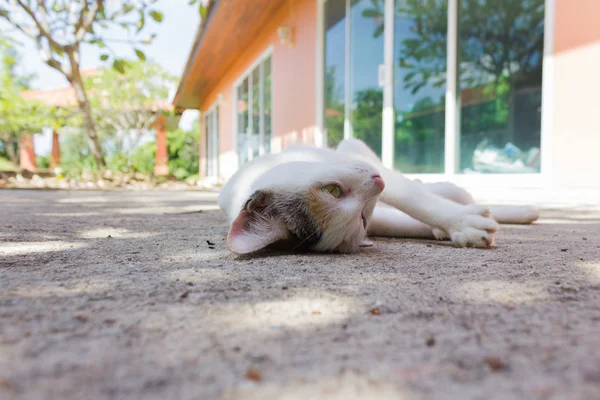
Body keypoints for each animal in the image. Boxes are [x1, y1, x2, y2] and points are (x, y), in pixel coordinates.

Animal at [218, 139, 536, 255]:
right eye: (361, 218)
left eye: (332, 189)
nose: (376, 184)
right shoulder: (377, 215)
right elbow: (402, 222)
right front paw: (457, 228)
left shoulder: (357, 160)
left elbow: (413, 198)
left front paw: (460, 222)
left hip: (353, 149)